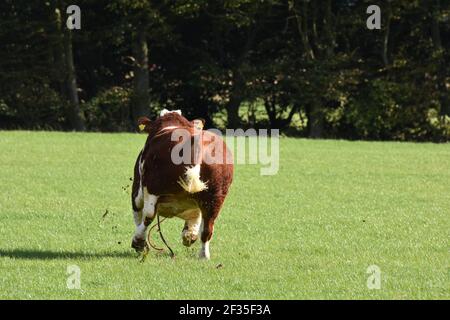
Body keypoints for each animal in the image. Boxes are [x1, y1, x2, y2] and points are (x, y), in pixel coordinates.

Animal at [130, 109, 234, 258]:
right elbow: (196, 217)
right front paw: (189, 235)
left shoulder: (137, 189)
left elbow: (138, 214)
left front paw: (139, 243)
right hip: (216, 196)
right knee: (207, 228)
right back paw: (203, 255)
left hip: (152, 188)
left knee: (148, 216)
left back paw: (138, 242)